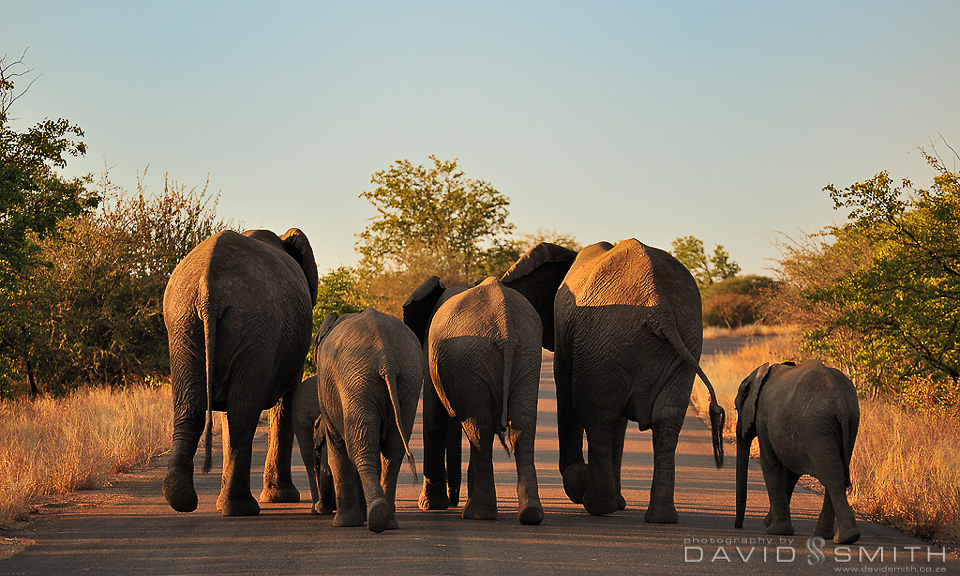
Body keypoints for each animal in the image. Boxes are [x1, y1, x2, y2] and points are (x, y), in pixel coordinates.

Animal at [162, 228, 318, 516]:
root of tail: (208, 292)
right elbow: (286, 403)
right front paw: (281, 498)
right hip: (251, 324)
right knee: (241, 412)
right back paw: (241, 508)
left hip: (185, 323)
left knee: (193, 407)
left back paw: (184, 499)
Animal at [314, 308, 422, 533]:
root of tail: (387, 358)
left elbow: (336, 450)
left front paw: (344, 524)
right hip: (408, 382)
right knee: (393, 453)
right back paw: (386, 520)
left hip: (355, 382)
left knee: (360, 449)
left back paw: (375, 518)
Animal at [403, 276, 544, 525]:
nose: (453, 500)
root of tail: (506, 330)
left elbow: (434, 423)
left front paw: (429, 506)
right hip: (526, 355)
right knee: (522, 428)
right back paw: (530, 514)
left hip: (473, 359)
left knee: (480, 429)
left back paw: (477, 514)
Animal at [500, 240, 725, 522]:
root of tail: (661, 307)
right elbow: (619, 423)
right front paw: (619, 503)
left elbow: (567, 398)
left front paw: (579, 483)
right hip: (683, 339)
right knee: (665, 419)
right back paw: (659, 517)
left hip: (604, 341)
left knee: (597, 415)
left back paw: (597, 505)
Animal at [734, 360, 861, 544]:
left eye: (736, 409)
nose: (738, 526)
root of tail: (839, 400)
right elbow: (790, 473)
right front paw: (769, 523)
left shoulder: (762, 417)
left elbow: (771, 463)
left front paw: (775, 530)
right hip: (848, 423)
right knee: (836, 472)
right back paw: (831, 536)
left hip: (815, 427)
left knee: (831, 474)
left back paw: (845, 537)